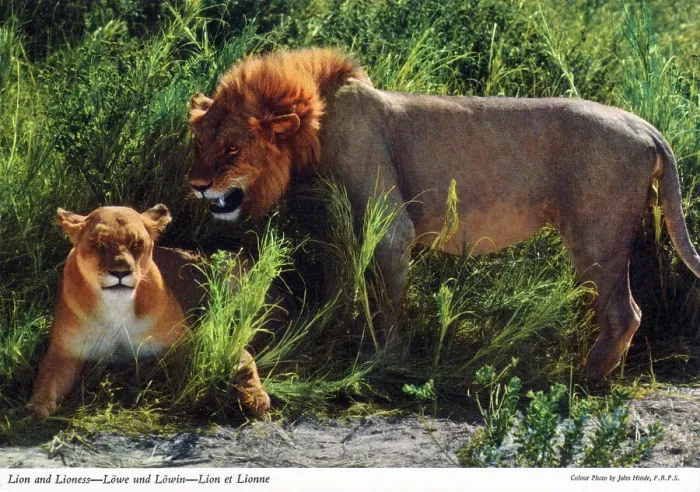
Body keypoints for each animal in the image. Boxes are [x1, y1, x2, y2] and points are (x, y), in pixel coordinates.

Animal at [26, 205, 270, 418]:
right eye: (99, 244)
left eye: (136, 244)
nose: (120, 272)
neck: (117, 307)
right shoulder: (65, 352)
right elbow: (47, 377)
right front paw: (38, 406)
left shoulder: (187, 341)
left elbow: (242, 355)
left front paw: (255, 395)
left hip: (233, 263)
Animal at [187, 48, 700, 379]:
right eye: (199, 143)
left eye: (232, 148)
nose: (195, 185)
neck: (314, 127)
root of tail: (645, 125)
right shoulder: (342, 226)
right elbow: (340, 286)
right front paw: (327, 336)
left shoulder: (390, 224)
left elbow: (386, 297)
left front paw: (383, 360)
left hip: (596, 237)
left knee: (624, 312)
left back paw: (584, 378)